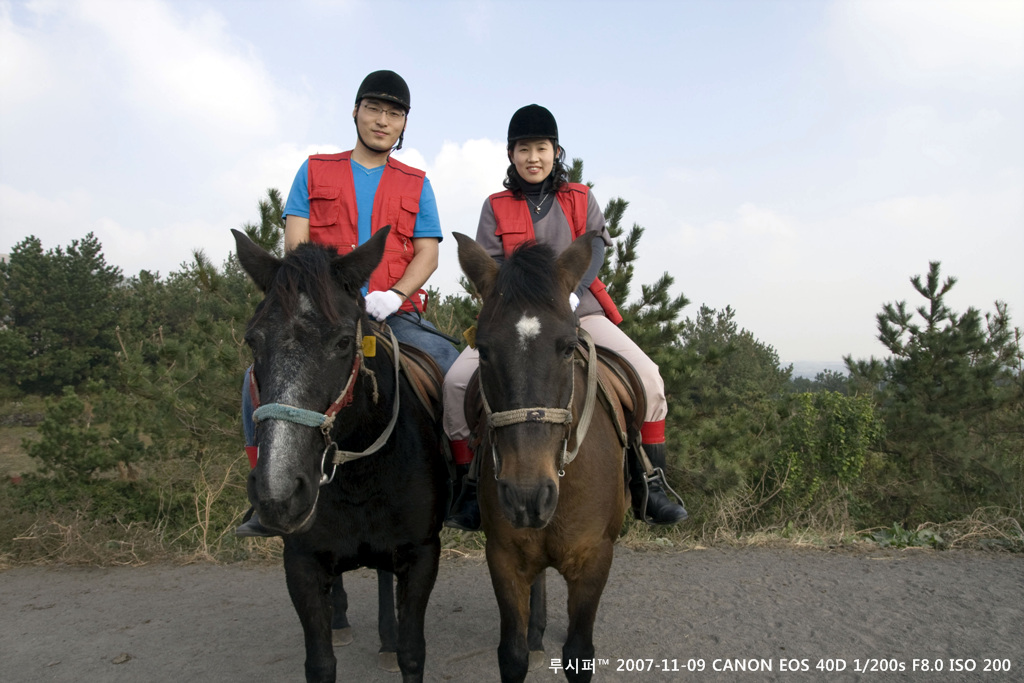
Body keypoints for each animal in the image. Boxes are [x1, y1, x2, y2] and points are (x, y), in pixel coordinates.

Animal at [234, 228, 446, 683]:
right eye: (252, 340)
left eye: (344, 341)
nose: (280, 493)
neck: (359, 475)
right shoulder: (301, 563)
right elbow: (320, 662)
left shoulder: (421, 555)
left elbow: (412, 652)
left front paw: (396, 643)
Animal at [456, 232, 630, 679]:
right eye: (483, 350)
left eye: (568, 348)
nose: (526, 495)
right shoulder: (503, 557)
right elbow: (512, 653)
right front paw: (527, 640)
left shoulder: (594, 559)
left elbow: (578, 652)